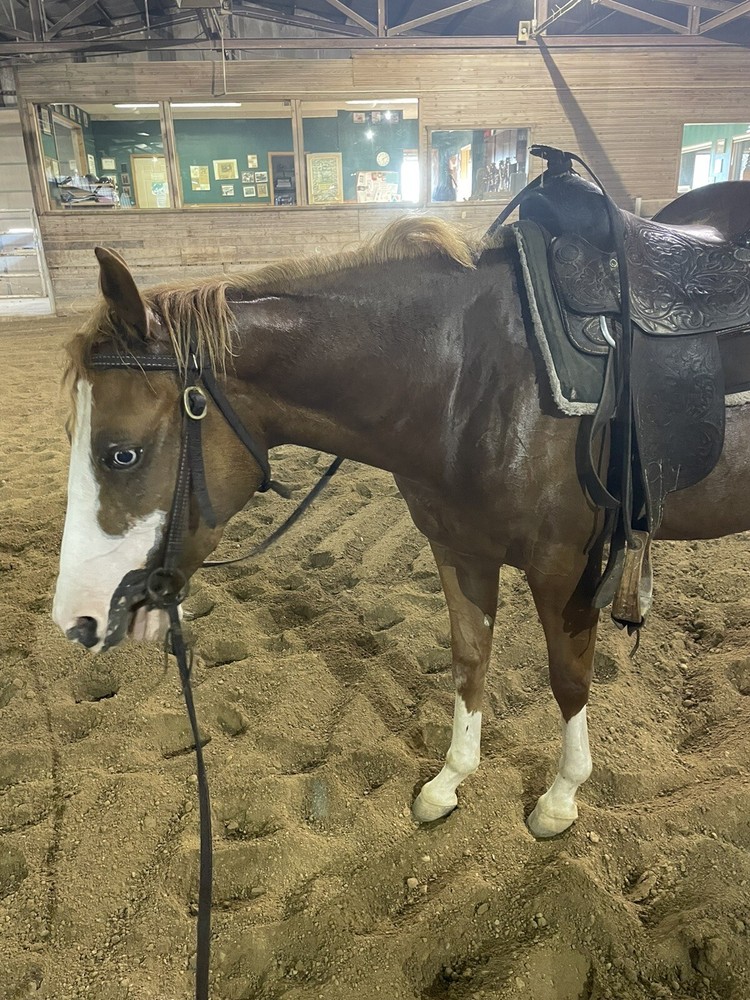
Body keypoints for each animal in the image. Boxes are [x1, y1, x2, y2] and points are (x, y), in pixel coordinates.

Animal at [52, 214, 750, 840]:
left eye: (121, 454)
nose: (78, 618)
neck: (475, 373)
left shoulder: (564, 565)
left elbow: (568, 676)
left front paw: (559, 799)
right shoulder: (460, 548)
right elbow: (470, 660)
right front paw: (449, 782)